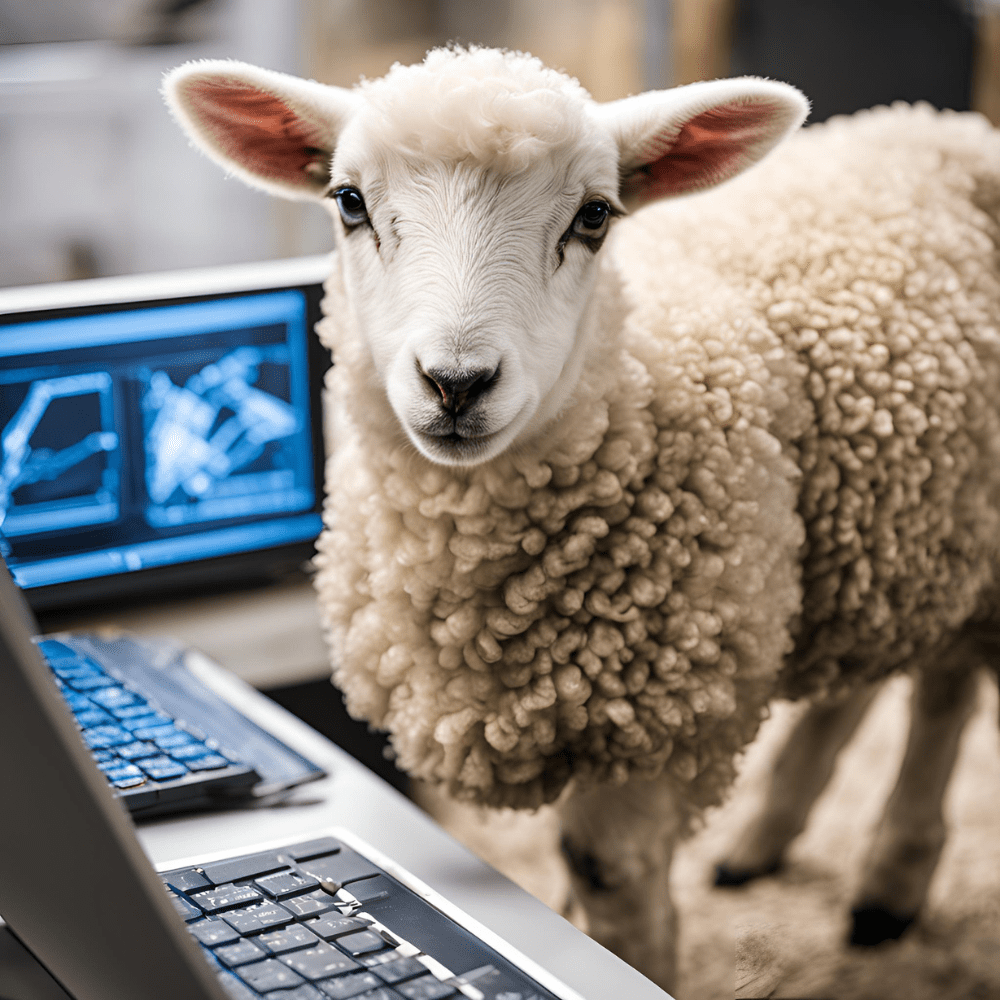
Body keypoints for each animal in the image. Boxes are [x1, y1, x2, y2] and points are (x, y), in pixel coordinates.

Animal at [163, 46, 1000, 994]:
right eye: (348, 202)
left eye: (595, 215)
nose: (456, 382)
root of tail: (934, 119)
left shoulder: (646, 726)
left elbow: (609, 878)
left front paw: (634, 954)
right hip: (882, 530)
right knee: (874, 671)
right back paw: (769, 838)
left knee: (943, 691)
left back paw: (891, 880)